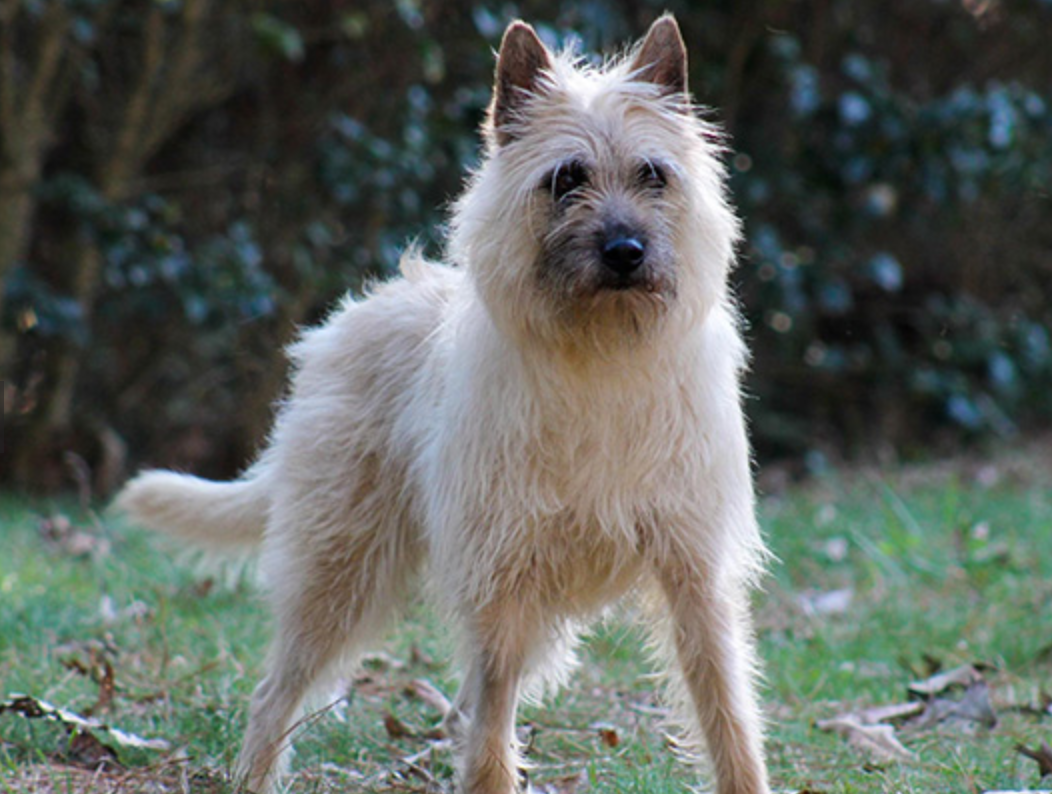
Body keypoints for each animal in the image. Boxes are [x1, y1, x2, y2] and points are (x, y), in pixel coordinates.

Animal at [117, 14, 774, 794]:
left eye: (653, 174)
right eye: (566, 179)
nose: (624, 250)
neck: (601, 358)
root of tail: (343, 325)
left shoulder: (694, 576)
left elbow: (726, 711)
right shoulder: (503, 581)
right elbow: (492, 726)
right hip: (338, 575)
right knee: (278, 691)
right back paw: (253, 774)